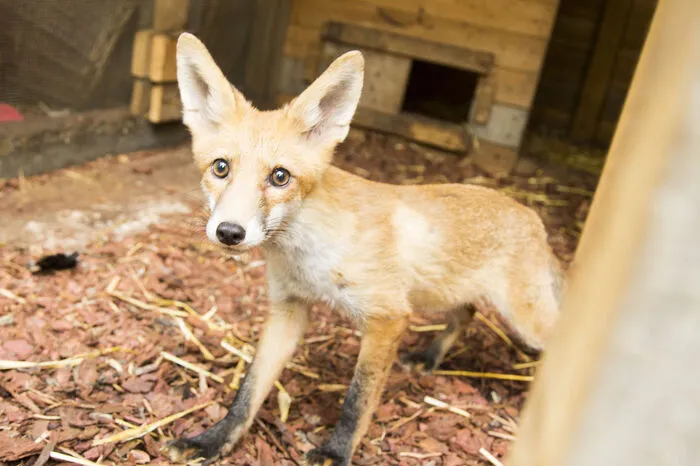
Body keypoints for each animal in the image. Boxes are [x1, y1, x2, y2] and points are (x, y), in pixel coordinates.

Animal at [164, 32, 565, 465]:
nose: (229, 232)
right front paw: (214, 440)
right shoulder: (288, 309)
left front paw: (336, 453)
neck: (307, 256)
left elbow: (356, 401)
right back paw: (429, 357)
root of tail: (532, 213)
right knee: (467, 313)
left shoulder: (388, 317)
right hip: (452, 292)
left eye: (280, 177)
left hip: (524, 319)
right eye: (221, 167)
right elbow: (248, 390)